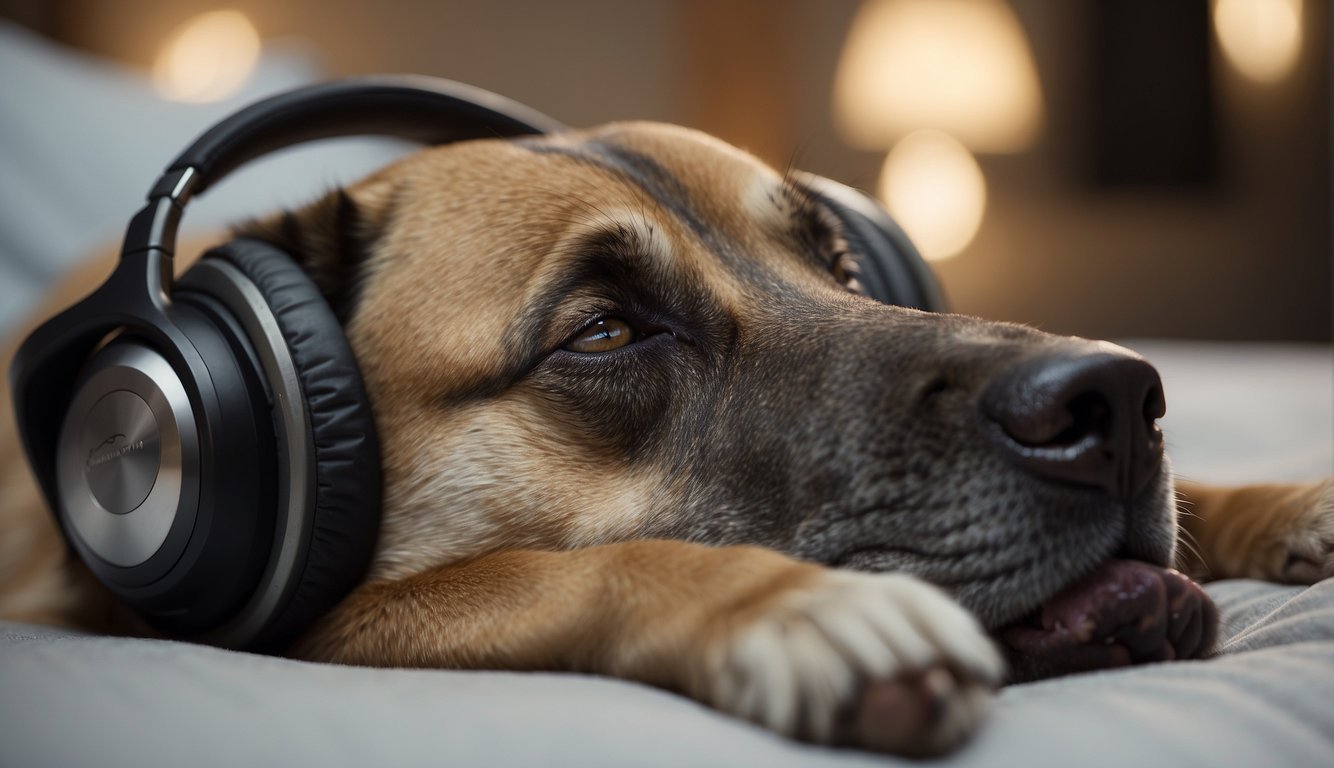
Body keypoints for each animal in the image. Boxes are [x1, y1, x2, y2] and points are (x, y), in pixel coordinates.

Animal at [2, 121, 1334, 757]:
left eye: (842, 263)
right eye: (602, 332)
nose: (1110, 402)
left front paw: (1280, 502)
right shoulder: (325, 620)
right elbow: (568, 571)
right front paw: (779, 605)